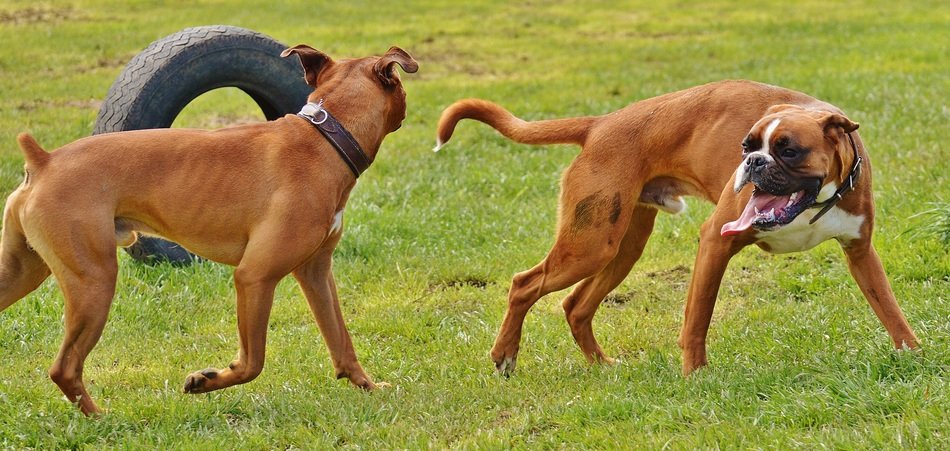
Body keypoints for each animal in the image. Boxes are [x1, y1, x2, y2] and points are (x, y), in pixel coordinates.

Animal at [0, 44, 420, 414]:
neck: (326, 136)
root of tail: (44, 162)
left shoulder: (316, 273)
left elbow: (341, 339)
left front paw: (367, 386)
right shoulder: (254, 278)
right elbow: (252, 362)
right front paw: (207, 380)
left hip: (23, 274)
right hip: (94, 283)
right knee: (64, 368)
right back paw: (101, 419)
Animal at [436, 80, 924, 378]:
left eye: (788, 150)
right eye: (747, 145)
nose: (751, 162)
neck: (818, 197)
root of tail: (600, 124)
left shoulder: (861, 253)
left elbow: (889, 309)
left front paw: (915, 357)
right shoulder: (715, 242)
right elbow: (697, 318)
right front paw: (695, 376)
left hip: (621, 248)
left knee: (576, 306)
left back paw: (601, 366)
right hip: (590, 246)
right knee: (524, 284)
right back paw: (504, 357)